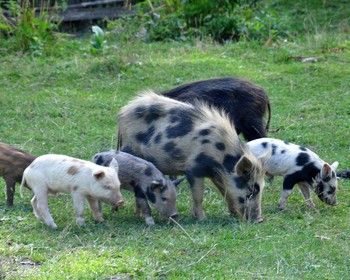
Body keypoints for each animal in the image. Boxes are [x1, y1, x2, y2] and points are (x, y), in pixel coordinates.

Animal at [117, 92, 268, 223]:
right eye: (251, 191)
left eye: (262, 187)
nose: (259, 220)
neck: (221, 156)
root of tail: (123, 113)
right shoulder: (194, 168)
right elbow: (198, 195)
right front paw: (202, 219)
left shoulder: (216, 175)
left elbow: (225, 192)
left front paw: (233, 214)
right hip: (130, 148)